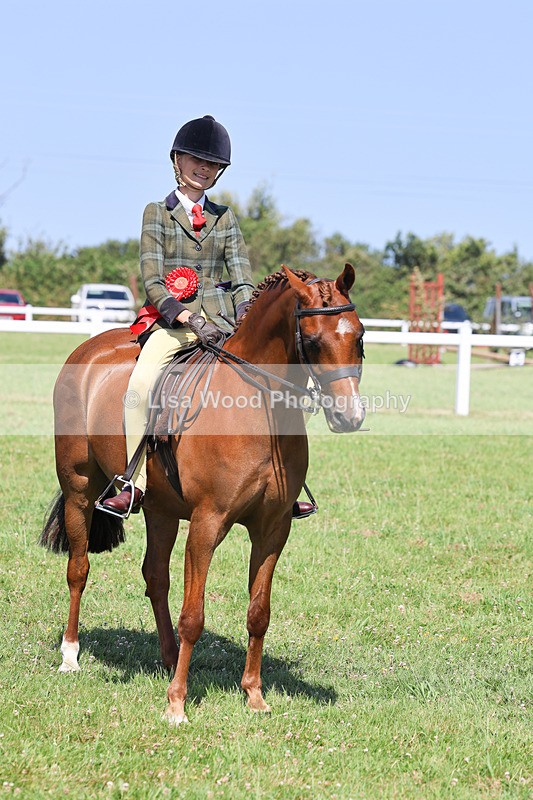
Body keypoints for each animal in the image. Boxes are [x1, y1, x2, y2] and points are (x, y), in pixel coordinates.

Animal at [40, 264, 366, 724]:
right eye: (314, 341)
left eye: (359, 337)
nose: (349, 416)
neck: (256, 406)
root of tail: (88, 349)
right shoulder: (207, 524)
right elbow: (193, 615)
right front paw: (177, 703)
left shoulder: (273, 529)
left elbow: (258, 613)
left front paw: (254, 695)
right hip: (79, 491)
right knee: (79, 568)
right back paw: (71, 655)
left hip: (159, 509)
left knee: (155, 577)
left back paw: (167, 656)